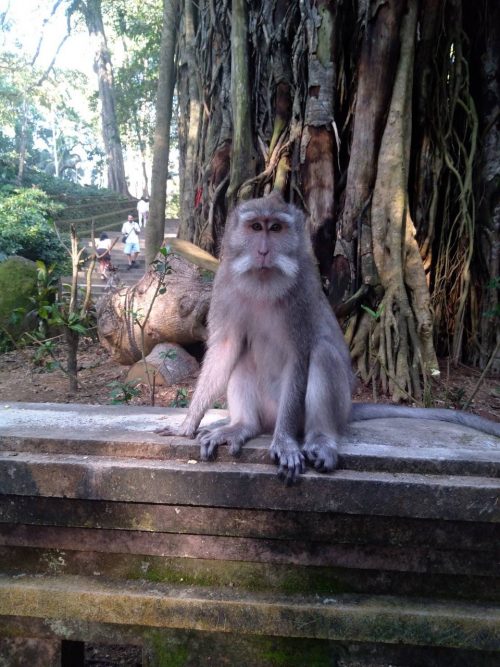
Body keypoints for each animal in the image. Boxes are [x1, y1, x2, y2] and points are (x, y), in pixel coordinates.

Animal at [156, 192, 500, 483]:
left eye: (276, 228)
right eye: (255, 227)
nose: (264, 251)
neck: (263, 284)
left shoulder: (303, 294)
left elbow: (301, 355)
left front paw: (285, 443)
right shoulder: (224, 288)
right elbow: (225, 350)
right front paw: (187, 425)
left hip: (322, 409)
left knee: (323, 354)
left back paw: (320, 439)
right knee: (243, 358)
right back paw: (243, 427)